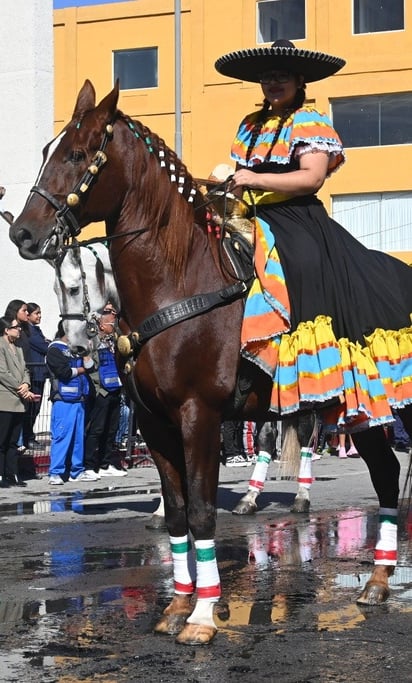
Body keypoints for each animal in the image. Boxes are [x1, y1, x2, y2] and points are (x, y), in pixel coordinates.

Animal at [9, 80, 412, 648]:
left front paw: (202, 616)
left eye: (78, 155)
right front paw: (177, 605)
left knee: (370, 467)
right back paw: (375, 581)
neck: (178, 282)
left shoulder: (198, 413)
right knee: (379, 470)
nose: (23, 234)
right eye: (48, 151)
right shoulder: (154, 420)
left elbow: (201, 513)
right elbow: (178, 511)